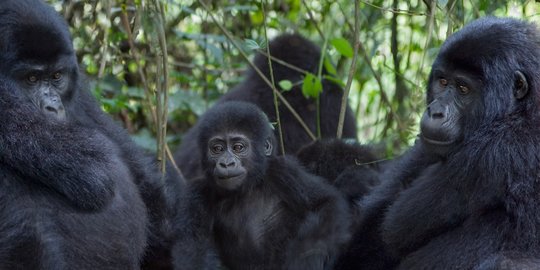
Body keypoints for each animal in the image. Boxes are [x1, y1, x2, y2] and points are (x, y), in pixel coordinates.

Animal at [172, 101, 350, 270]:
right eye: (217, 149)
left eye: (238, 147)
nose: (226, 163)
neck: (247, 188)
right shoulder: (197, 193)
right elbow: (193, 248)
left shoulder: (283, 171)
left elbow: (324, 202)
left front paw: (308, 257)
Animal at [336, 17, 540, 270]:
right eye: (442, 81)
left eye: (463, 88)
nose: (435, 112)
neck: (522, 109)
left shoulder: (495, 152)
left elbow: (394, 226)